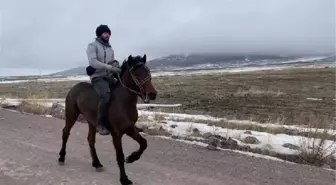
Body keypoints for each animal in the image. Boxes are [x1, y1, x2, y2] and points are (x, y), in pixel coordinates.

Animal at [57, 55, 158, 185]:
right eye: (136, 73)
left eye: (148, 71)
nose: (152, 94)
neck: (123, 102)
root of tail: (74, 87)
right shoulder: (116, 133)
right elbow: (119, 156)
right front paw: (124, 179)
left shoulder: (130, 128)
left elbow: (144, 143)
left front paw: (131, 158)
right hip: (71, 115)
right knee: (65, 132)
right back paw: (61, 157)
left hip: (92, 122)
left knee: (90, 140)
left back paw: (97, 163)